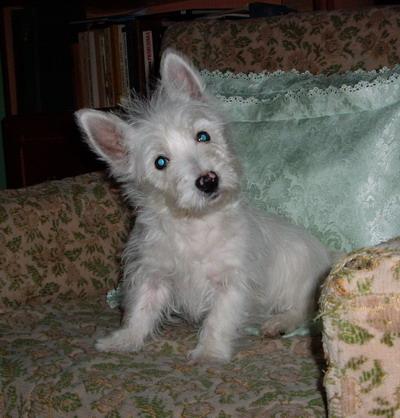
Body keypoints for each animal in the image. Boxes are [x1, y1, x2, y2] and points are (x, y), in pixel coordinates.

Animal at [75, 49, 332, 362]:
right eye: (160, 162)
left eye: (202, 136)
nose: (208, 180)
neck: (196, 223)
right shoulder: (154, 274)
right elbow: (141, 310)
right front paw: (125, 339)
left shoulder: (231, 281)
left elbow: (218, 320)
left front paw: (209, 352)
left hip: (302, 281)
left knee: (303, 310)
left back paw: (278, 322)